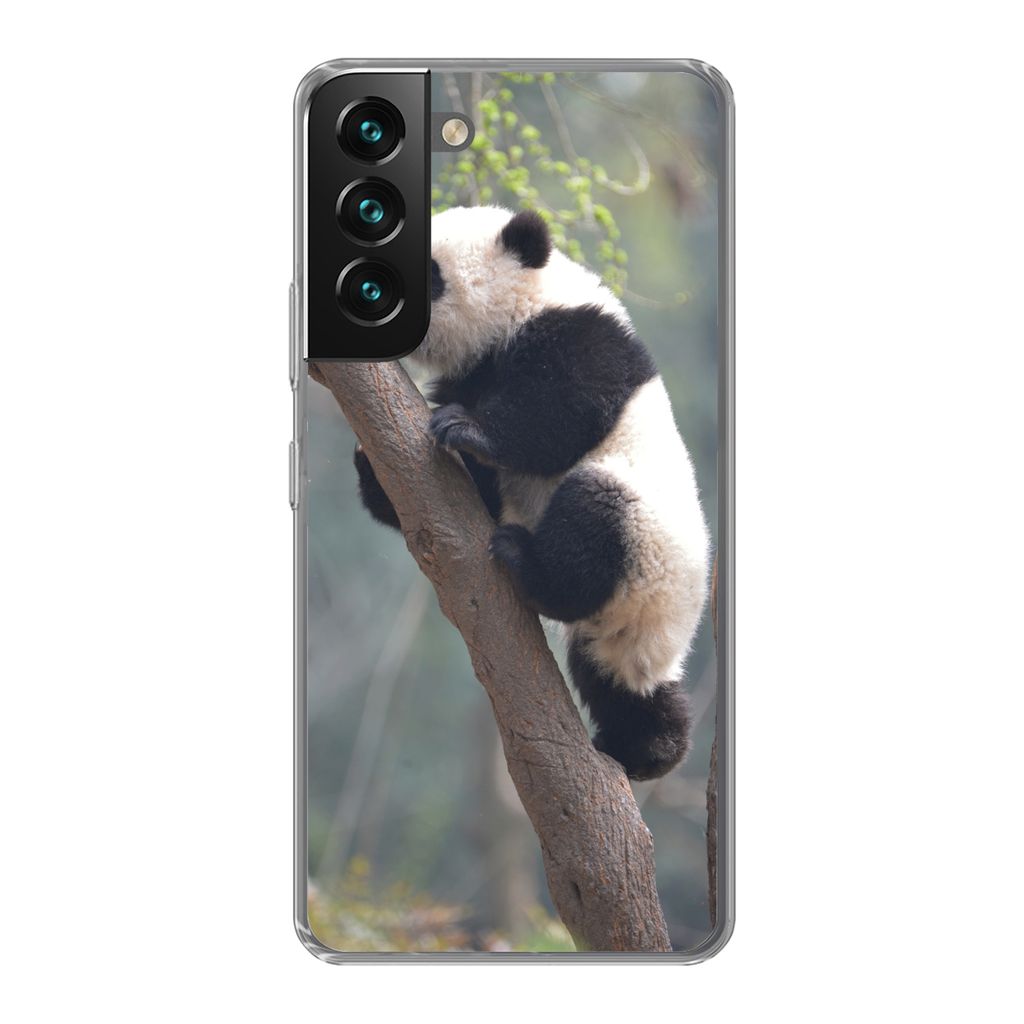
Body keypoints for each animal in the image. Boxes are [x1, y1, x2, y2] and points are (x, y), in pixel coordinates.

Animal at [354, 205, 710, 781]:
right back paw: (649, 747)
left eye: (431, 274)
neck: (527, 301)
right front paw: (373, 468)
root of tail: (665, 622)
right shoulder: (474, 372)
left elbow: (560, 414)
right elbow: (472, 489)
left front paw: (468, 429)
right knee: (618, 680)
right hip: (622, 633)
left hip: (649, 543)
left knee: (593, 513)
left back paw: (527, 562)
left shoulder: (583, 337)